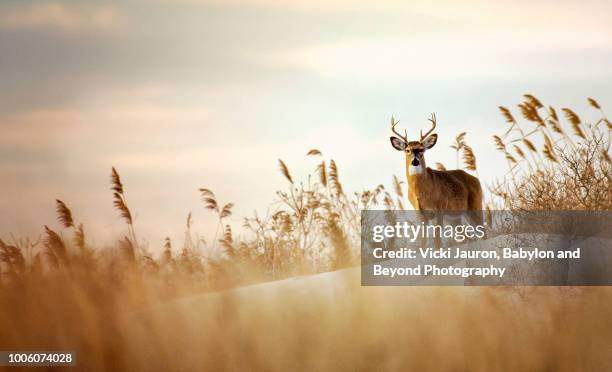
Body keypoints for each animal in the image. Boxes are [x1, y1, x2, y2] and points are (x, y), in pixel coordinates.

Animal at [392, 112, 482, 247]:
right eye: (407, 150)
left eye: (421, 149)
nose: (415, 161)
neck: (422, 193)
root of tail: (476, 180)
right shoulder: (420, 214)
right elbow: (423, 243)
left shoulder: (439, 209)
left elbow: (437, 242)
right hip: (454, 217)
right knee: (466, 237)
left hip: (475, 205)